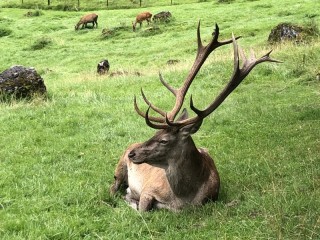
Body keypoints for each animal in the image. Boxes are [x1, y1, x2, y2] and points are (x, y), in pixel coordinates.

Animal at [110, 21, 280, 211]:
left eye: (164, 140)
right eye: (155, 134)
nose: (132, 154)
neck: (182, 199)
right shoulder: (148, 189)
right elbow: (142, 209)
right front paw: (131, 198)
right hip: (119, 169)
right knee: (112, 188)